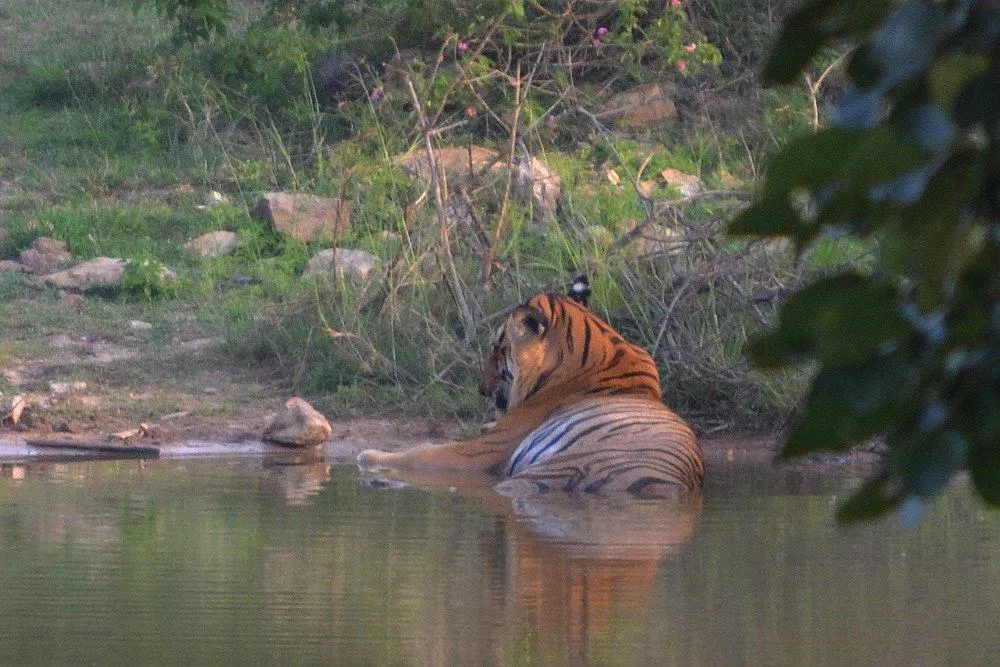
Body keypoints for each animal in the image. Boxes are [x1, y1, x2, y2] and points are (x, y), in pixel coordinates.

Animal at [357, 276, 704, 495]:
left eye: (496, 350)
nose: (481, 389)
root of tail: (665, 485)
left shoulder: (484, 451)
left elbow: (421, 452)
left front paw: (368, 455)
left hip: (552, 469)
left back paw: (377, 482)